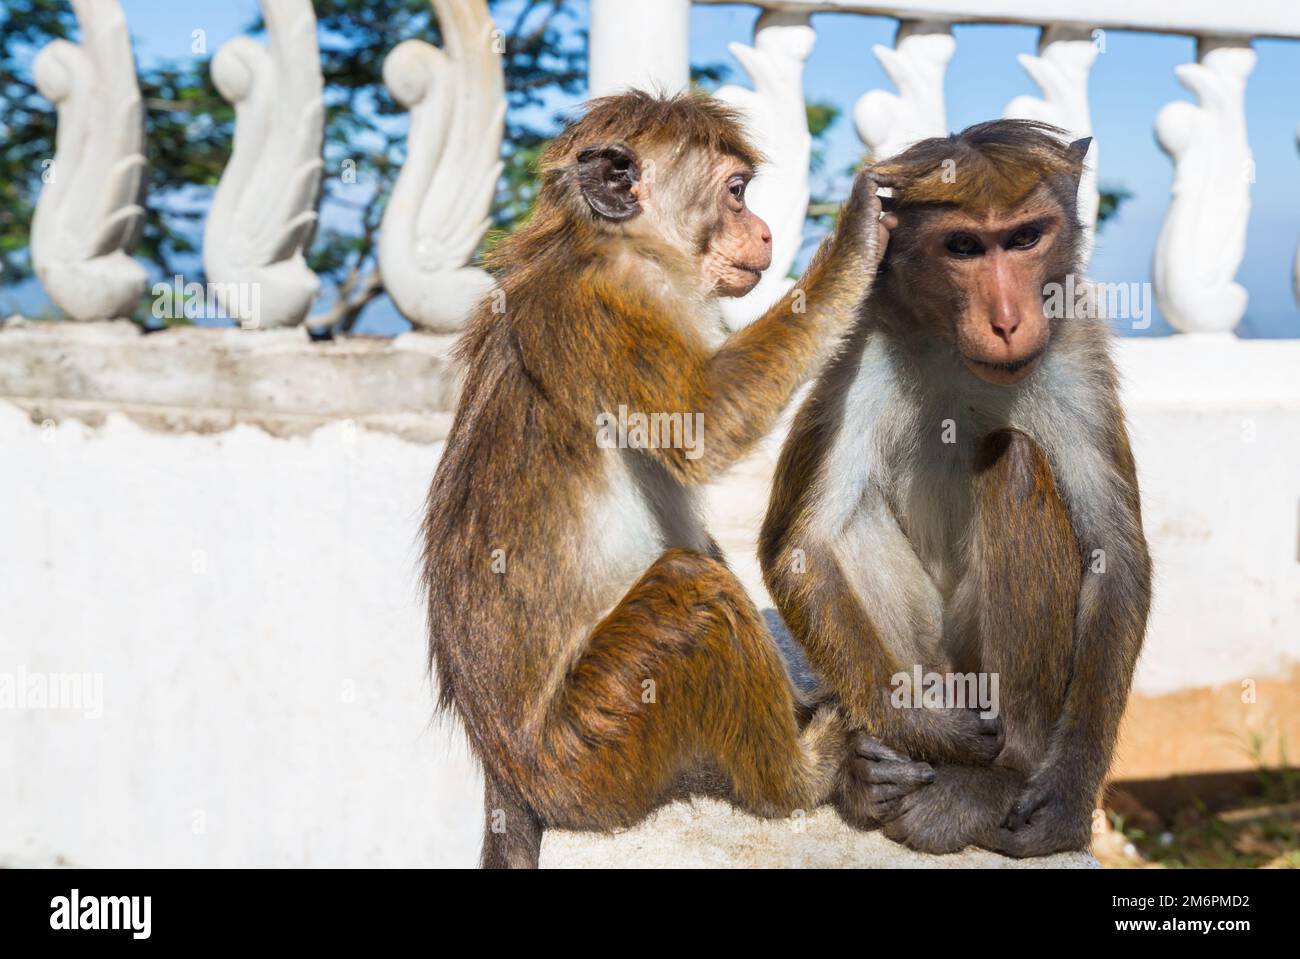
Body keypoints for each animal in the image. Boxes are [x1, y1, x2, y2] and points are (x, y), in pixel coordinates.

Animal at [421, 91, 923, 869]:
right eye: (737, 192)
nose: (764, 229)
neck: (610, 241)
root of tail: (506, 775)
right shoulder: (614, 299)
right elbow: (708, 424)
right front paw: (857, 236)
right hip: (591, 748)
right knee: (695, 596)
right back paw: (801, 774)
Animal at [759, 119, 1152, 857]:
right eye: (964, 247)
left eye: (1025, 237)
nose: (1007, 319)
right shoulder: (861, 346)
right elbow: (801, 546)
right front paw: (925, 732)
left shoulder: (1075, 349)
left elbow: (1115, 554)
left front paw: (1067, 795)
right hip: (927, 658)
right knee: (849, 521)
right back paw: (871, 770)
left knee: (1015, 462)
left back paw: (999, 778)